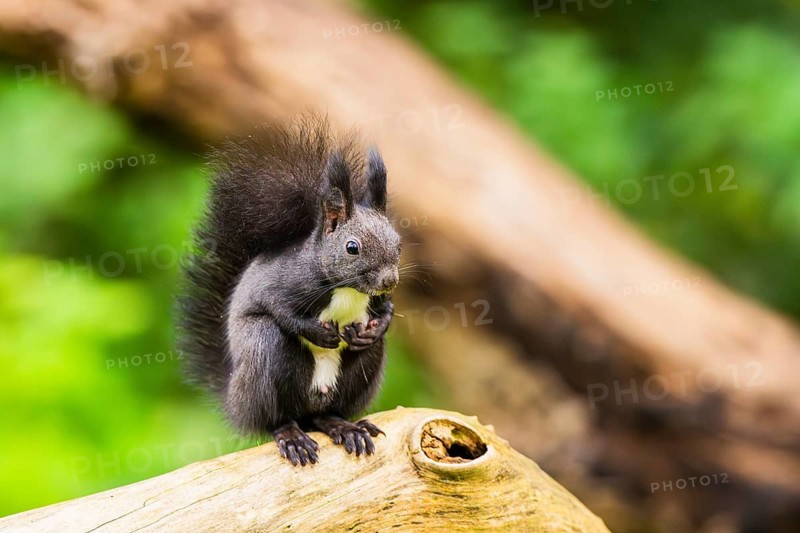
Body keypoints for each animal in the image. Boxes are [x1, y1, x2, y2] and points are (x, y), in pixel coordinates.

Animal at [178, 116, 401, 466]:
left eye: (399, 243)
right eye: (352, 247)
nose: (389, 280)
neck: (347, 289)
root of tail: (234, 400)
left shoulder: (375, 300)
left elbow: (386, 311)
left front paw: (376, 327)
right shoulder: (282, 284)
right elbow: (280, 309)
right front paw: (318, 333)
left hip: (357, 377)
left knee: (324, 414)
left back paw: (344, 425)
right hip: (262, 353)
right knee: (276, 416)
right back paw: (291, 435)